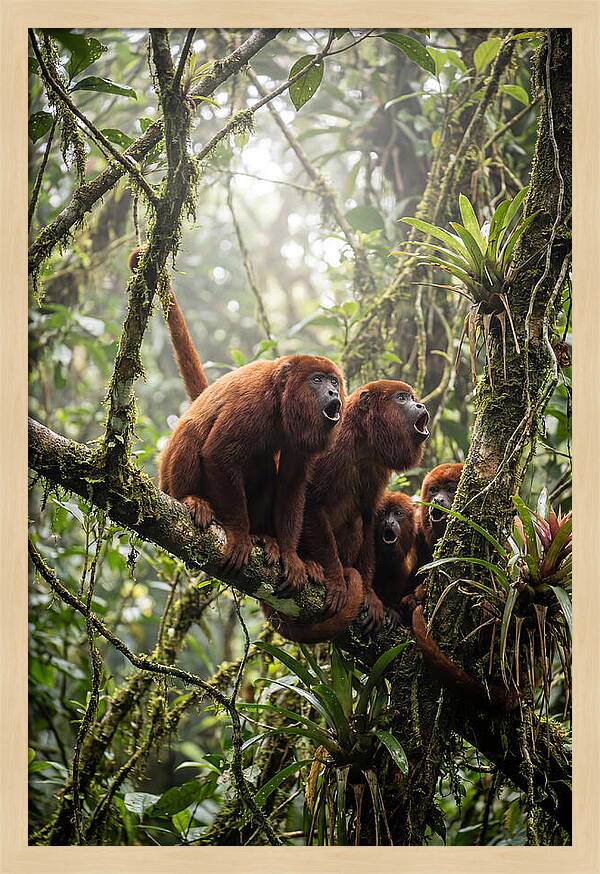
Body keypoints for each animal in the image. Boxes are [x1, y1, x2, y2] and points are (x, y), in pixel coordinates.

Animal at [128, 248, 346, 587]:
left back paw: (265, 538)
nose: (334, 392)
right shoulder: (253, 402)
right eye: (317, 380)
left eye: (334, 381)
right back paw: (192, 501)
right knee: (192, 430)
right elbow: (217, 453)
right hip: (168, 481)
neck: (281, 402)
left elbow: (292, 484)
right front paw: (241, 535)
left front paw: (290, 555)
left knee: (265, 466)